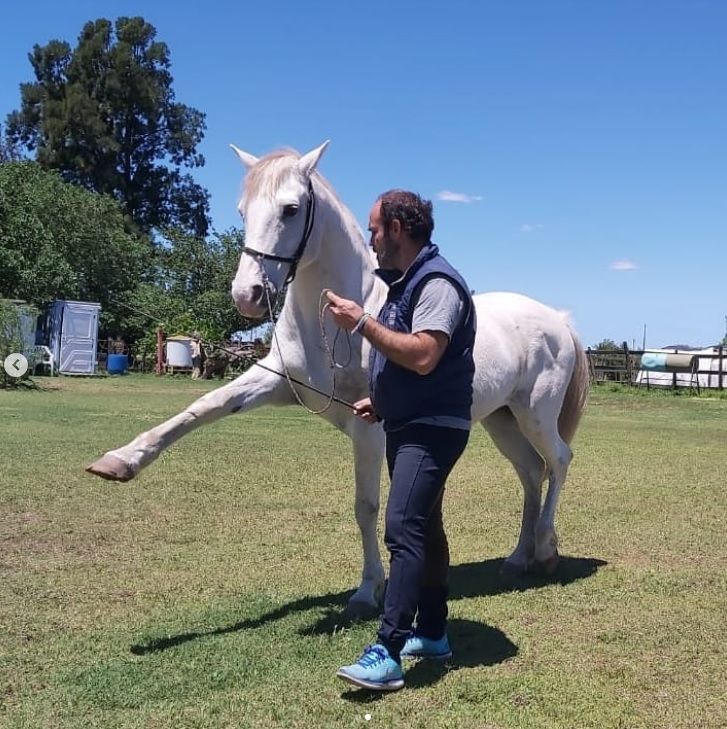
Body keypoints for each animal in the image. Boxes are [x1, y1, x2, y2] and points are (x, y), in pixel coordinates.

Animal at [89, 141, 592, 616]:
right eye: (242, 211)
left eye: (291, 209)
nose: (248, 295)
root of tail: (558, 319)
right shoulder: (275, 383)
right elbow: (202, 408)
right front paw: (120, 461)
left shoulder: (369, 427)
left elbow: (366, 507)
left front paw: (368, 590)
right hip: (501, 421)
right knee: (531, 472)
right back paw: (518, 558)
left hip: (534, 415)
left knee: (559, 460)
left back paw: (546, 550)